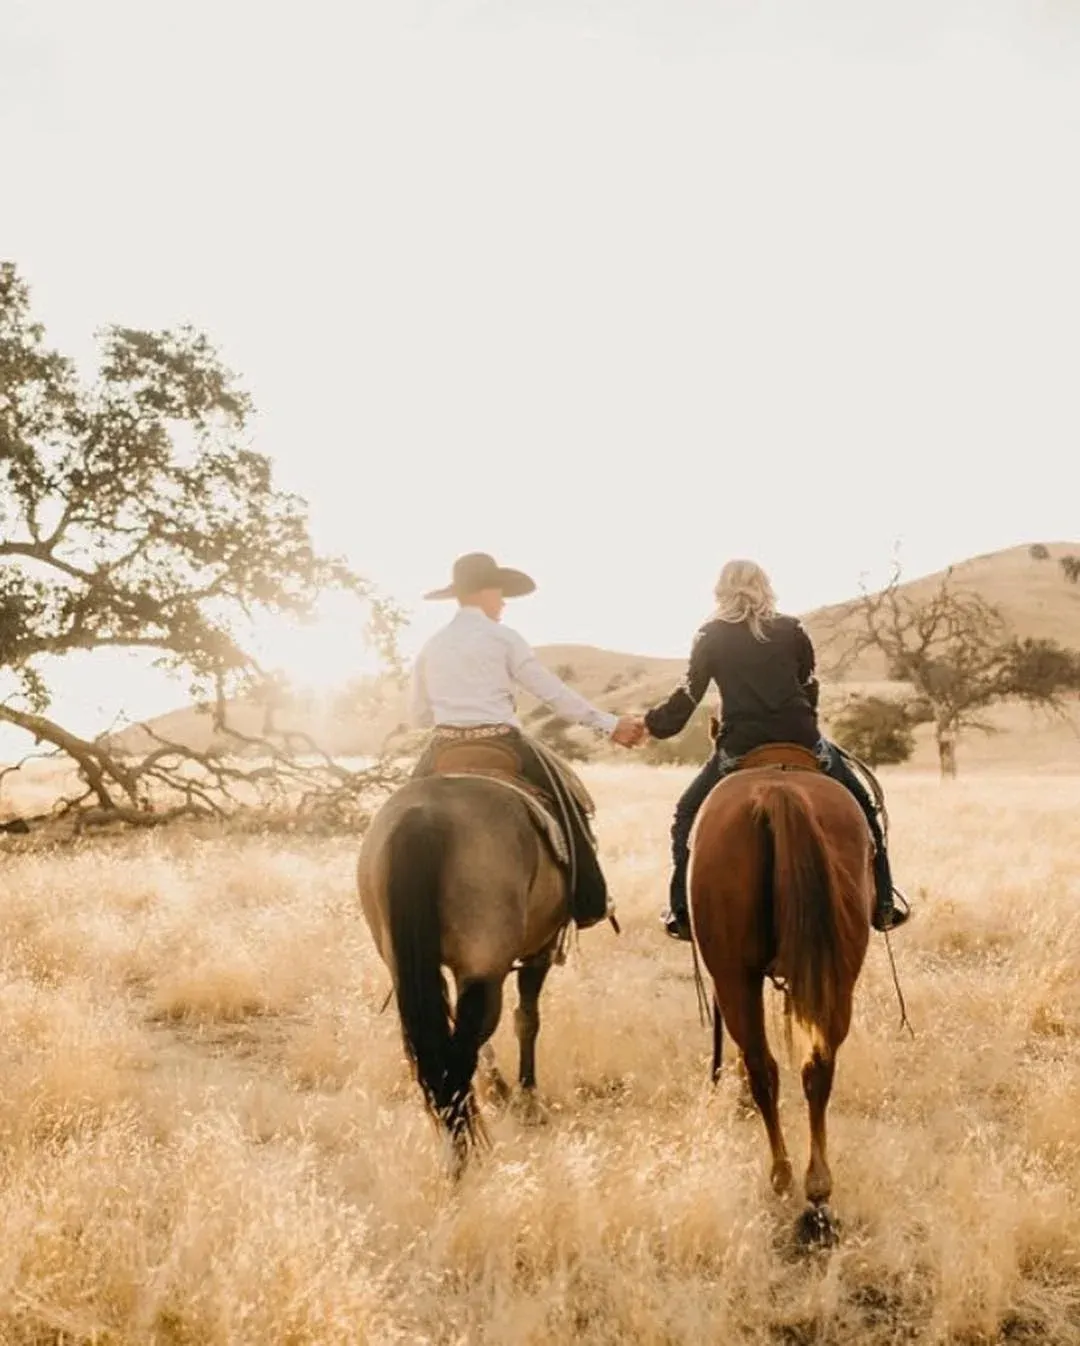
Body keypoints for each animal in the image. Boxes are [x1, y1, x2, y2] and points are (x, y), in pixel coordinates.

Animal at [357, 767, 571, 1178]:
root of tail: (422, 818)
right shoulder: (539, 951)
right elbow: (527, 1020)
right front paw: (527, 1098)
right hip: (485, 969)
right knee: (458, 1057)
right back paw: (460, 1159)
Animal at [688, 743, 873, 1241]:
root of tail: (778, 791)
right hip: (837, 976)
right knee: (817, 1067)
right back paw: (818, 1191)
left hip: (734, 976)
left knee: (763, 1068)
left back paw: (783, 1177)